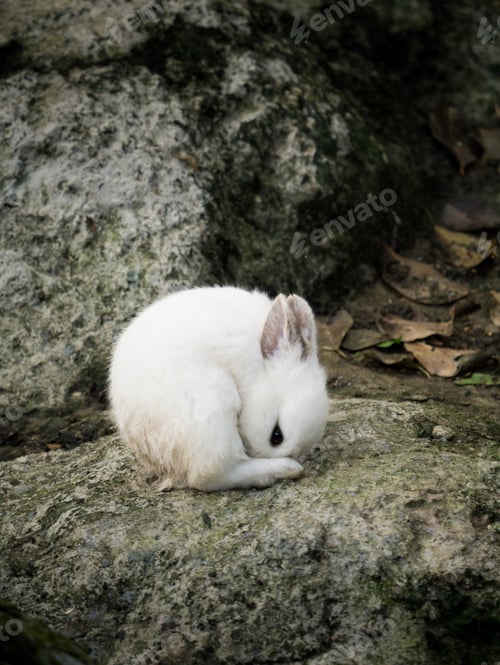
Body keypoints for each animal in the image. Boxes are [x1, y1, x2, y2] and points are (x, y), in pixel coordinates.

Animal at [109, 286, 329, 491]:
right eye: (276, 436)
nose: (294, 458)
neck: (256, 371)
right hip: (212, 409)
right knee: (209, 476)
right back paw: (283, 469)